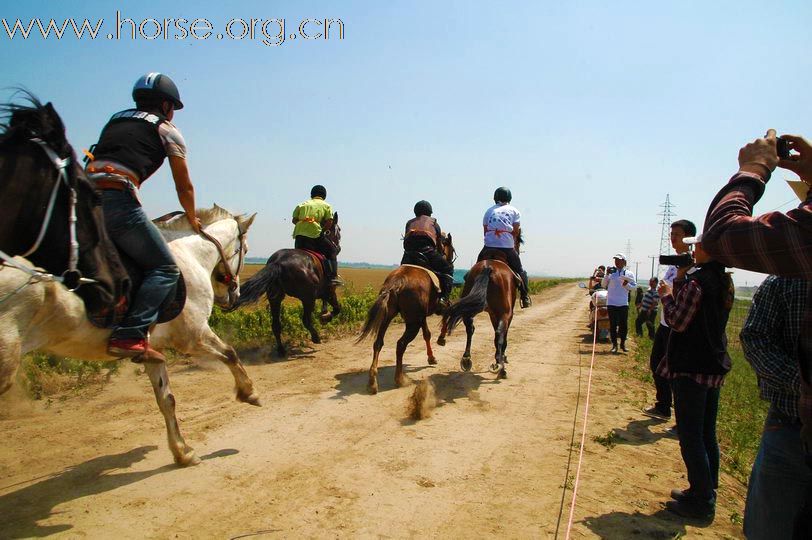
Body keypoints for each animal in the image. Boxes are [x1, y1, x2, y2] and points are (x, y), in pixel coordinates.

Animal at [0, 205, 258, 466]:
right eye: (245, 249)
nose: (232, 297)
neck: (190, 255)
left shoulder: (154, 351)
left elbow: (166, 400)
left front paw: (182, 451)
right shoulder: (192, 335)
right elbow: (230, 354)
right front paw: (249, 393)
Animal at [230, 213, 340, 356]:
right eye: (339, 230)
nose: (338, 248)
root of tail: (278, 262)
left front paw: (324, 314)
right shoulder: (329, 292)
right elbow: (337, 309)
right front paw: (325, 318)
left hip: (275, 298)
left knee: (276, 325)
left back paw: (281, 350)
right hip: (308, 298)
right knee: (306, 320)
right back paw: (316, 337)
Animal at [356, 232, 454, 392]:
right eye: (450, 247)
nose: (451, 260)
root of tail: (396, 283)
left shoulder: (422, 317)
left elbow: (427, 334)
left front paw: (431, 357)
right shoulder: (436, 309)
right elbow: (447, 313)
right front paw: (441, 339)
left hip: (388, 317)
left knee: (378, 342)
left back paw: (372, 381)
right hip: (412, 323)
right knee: (400, 344)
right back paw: (399, 379)